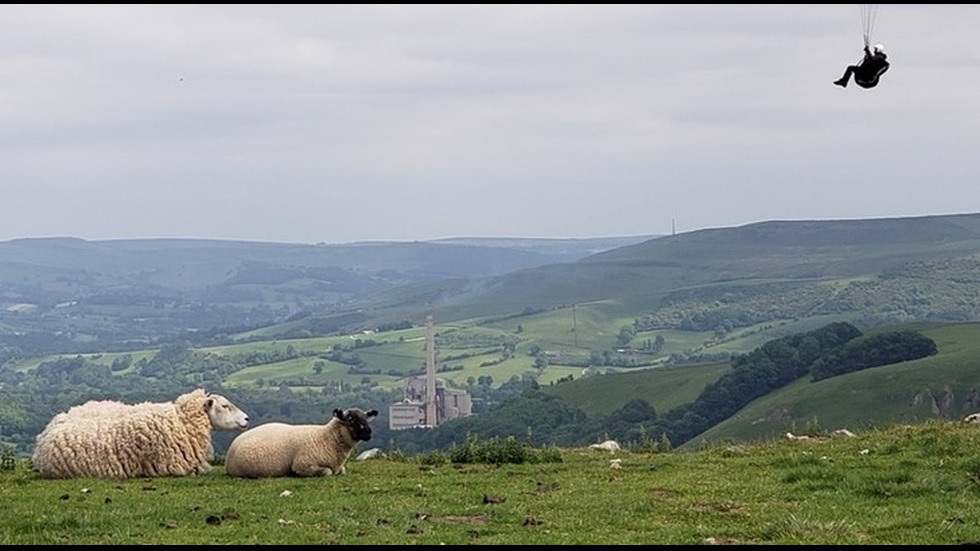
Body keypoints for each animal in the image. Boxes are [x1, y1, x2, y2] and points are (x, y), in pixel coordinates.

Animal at [224, 406, 378, 478]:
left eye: (365, 418)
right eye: (351, 420)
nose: (369, 432)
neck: (326, 438)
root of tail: (234, 442)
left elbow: (342, 471)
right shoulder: (302, 465)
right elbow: (327, 472)